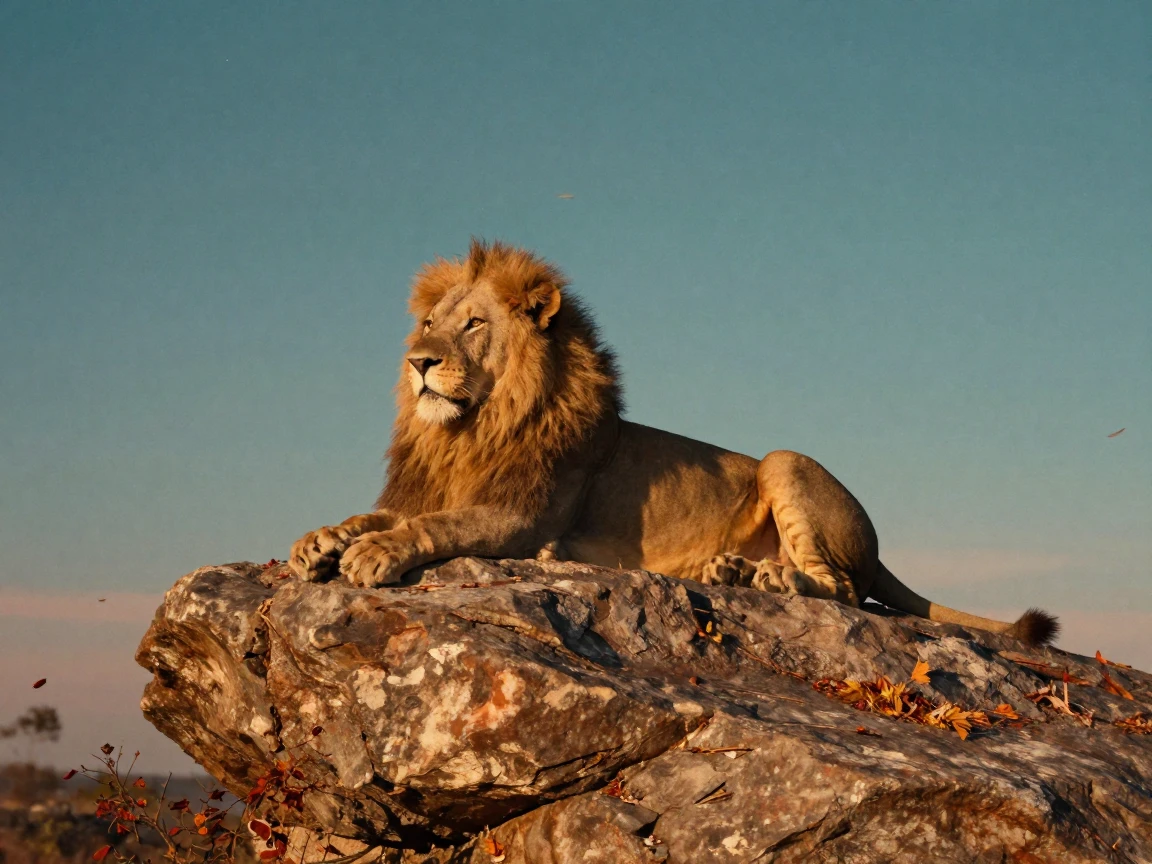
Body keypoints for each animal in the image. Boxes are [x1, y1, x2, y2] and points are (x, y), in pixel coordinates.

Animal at [289, 239, 1058, 646]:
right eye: (430, 322)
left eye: (473, 324)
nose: (418, 361)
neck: (471, 427)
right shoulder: (434, 485)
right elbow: (376, 512)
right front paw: (318, 541)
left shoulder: (519, 514)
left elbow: (432, 525)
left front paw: (374, 554)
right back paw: (733, 571)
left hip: (786, 460)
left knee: (842, 588)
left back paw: (774, 578)